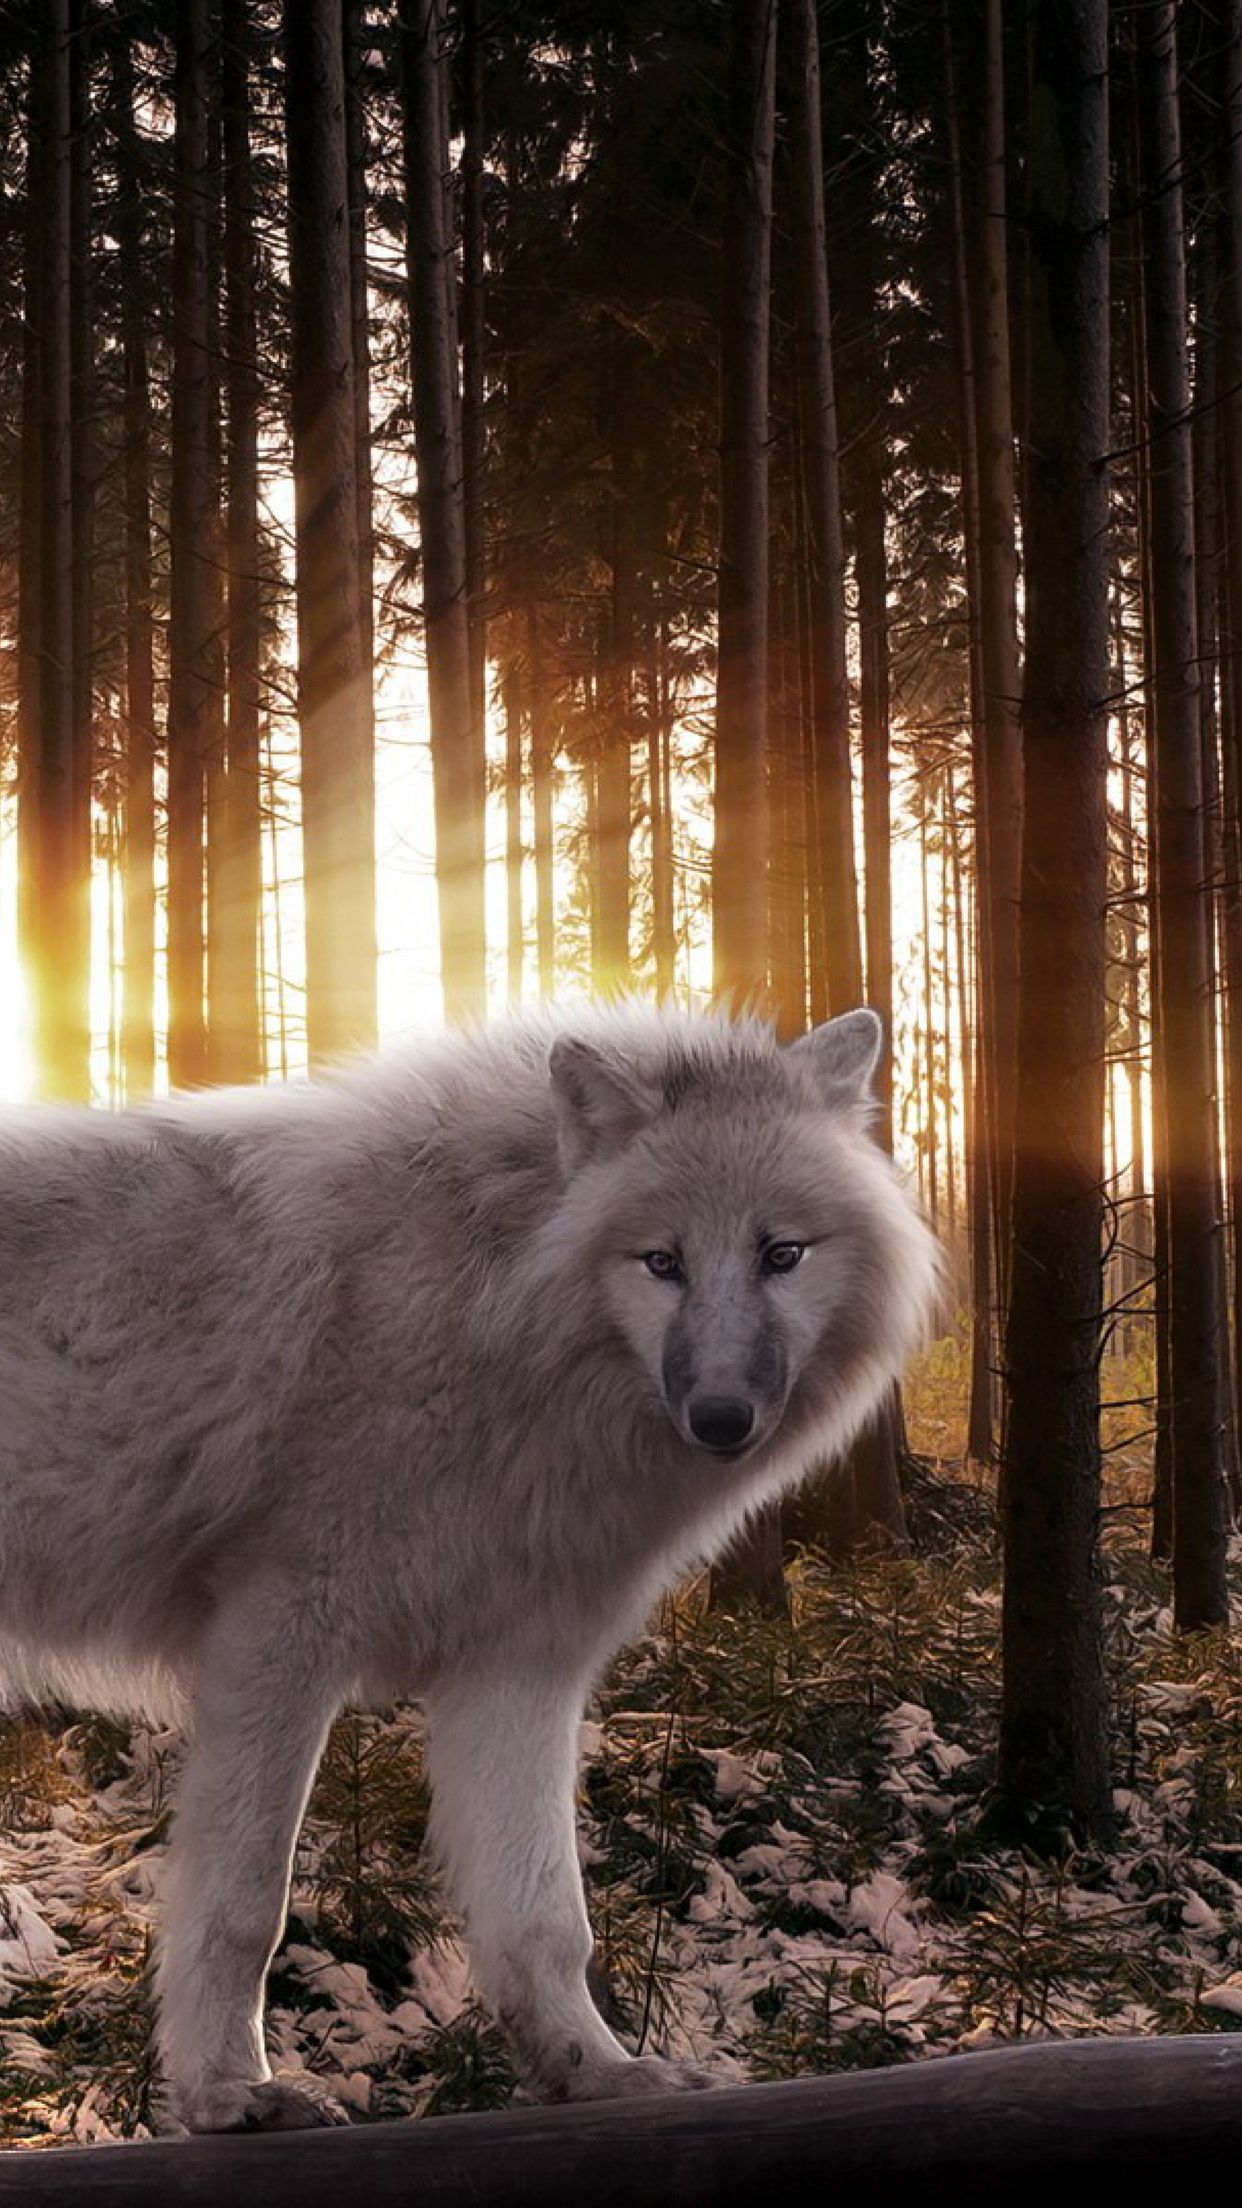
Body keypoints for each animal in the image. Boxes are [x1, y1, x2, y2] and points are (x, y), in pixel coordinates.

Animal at [0, 1000, 937, 2131]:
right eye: (661, 1261)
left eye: (781, 1253)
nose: (720, 1416)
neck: (490, 1306)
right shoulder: (277, 1641)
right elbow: (247, 1906)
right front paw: (230, 2094)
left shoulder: (520, 1668)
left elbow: (547, 1920)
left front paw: (597, 2071)